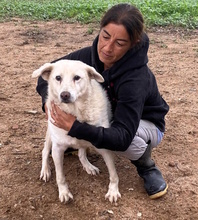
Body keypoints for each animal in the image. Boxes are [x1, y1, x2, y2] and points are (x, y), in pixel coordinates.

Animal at [32, 59, 120, 203]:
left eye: (77, 77)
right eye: (58, 78)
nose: (64, 95)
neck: (75, 112)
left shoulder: (104, 145)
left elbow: (113, 173)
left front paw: (113, 190)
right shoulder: (57, 149)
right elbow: (60, 176)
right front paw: (64, 192)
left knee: (81, 153)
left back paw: (88, 166)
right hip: (51, 136)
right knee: (44, 151)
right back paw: (45, 170)